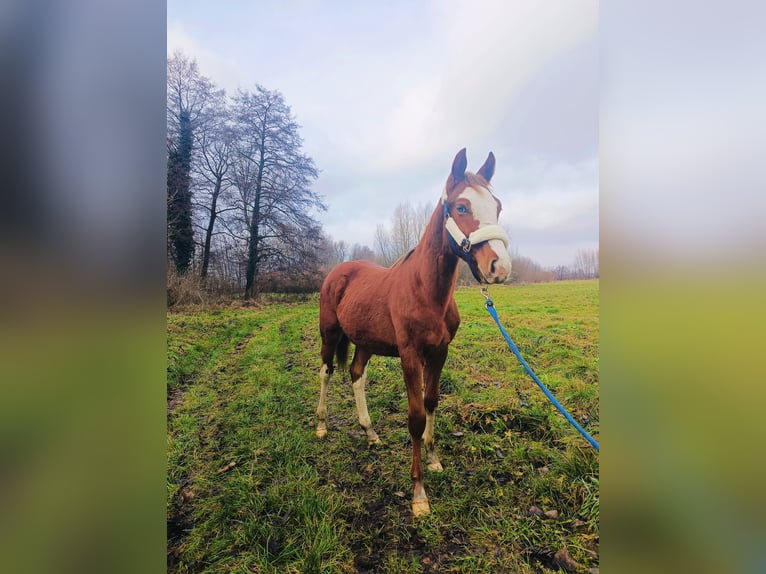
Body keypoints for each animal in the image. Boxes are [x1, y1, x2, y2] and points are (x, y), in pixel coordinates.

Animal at [316, 148, 512, 516]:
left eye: (497, 205)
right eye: (461, 207)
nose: (500, 267)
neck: (425, 290)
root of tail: (339, 271)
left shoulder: (439, 352)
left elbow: (432, 402)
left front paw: (434, 459)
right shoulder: (410, 356)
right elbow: (416, 416)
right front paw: (419, 494)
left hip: (365, 342)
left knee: (356, 375)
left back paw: (370, 432)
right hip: (330, 333)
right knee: (326, 371)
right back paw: (320, 425)